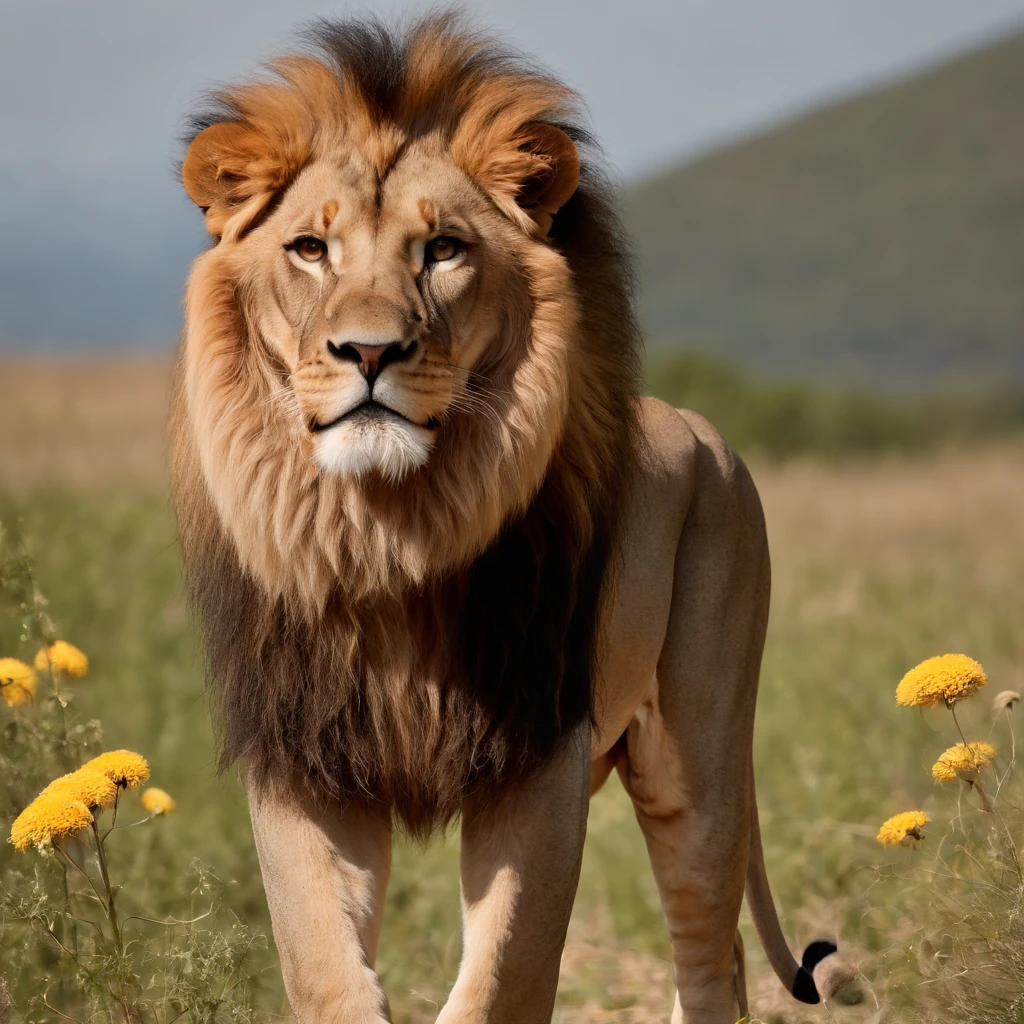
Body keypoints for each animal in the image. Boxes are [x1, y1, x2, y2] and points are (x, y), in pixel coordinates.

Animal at [167, 14, 839, 1024]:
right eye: (310, 249)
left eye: (442, 249)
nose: (369, 351)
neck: (387, 534)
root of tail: (699, 428)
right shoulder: (305, 760)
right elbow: (325, 968)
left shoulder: (538, 754)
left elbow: (502, 977)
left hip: (699, 764)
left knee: (707, 959)